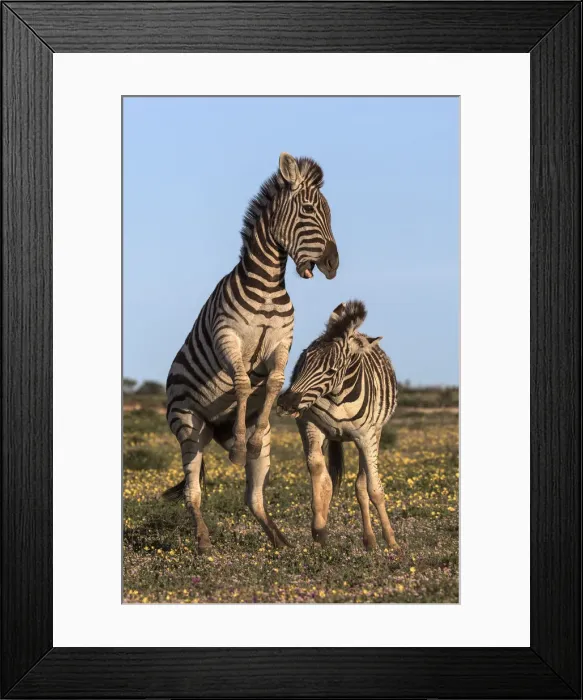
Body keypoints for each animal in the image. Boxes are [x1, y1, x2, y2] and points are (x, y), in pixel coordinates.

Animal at [165, 153, 339, 552]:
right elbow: (243, 383)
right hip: (189, 427)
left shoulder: (281, 342)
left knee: (253, 497)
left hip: (245, 439)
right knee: (193, 493)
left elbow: (273, 383)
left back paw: (280, 539)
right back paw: (203, 541)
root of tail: (216, 429)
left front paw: (253, 440)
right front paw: (242, 448)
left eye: (329, 212)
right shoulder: (227, 337)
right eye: (309, 210)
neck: (268, 286)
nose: (333, 264)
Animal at [277, 300, 399, 551]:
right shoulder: (310, 426)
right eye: (303, 361)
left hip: (374, 435)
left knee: (362, 484)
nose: (285, 403)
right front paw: (319, 528)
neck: (337, 396)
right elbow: (320, 475)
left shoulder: (366, 437)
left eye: (331, 371)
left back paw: (370, 539)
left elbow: (374, 489)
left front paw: (392, 541)